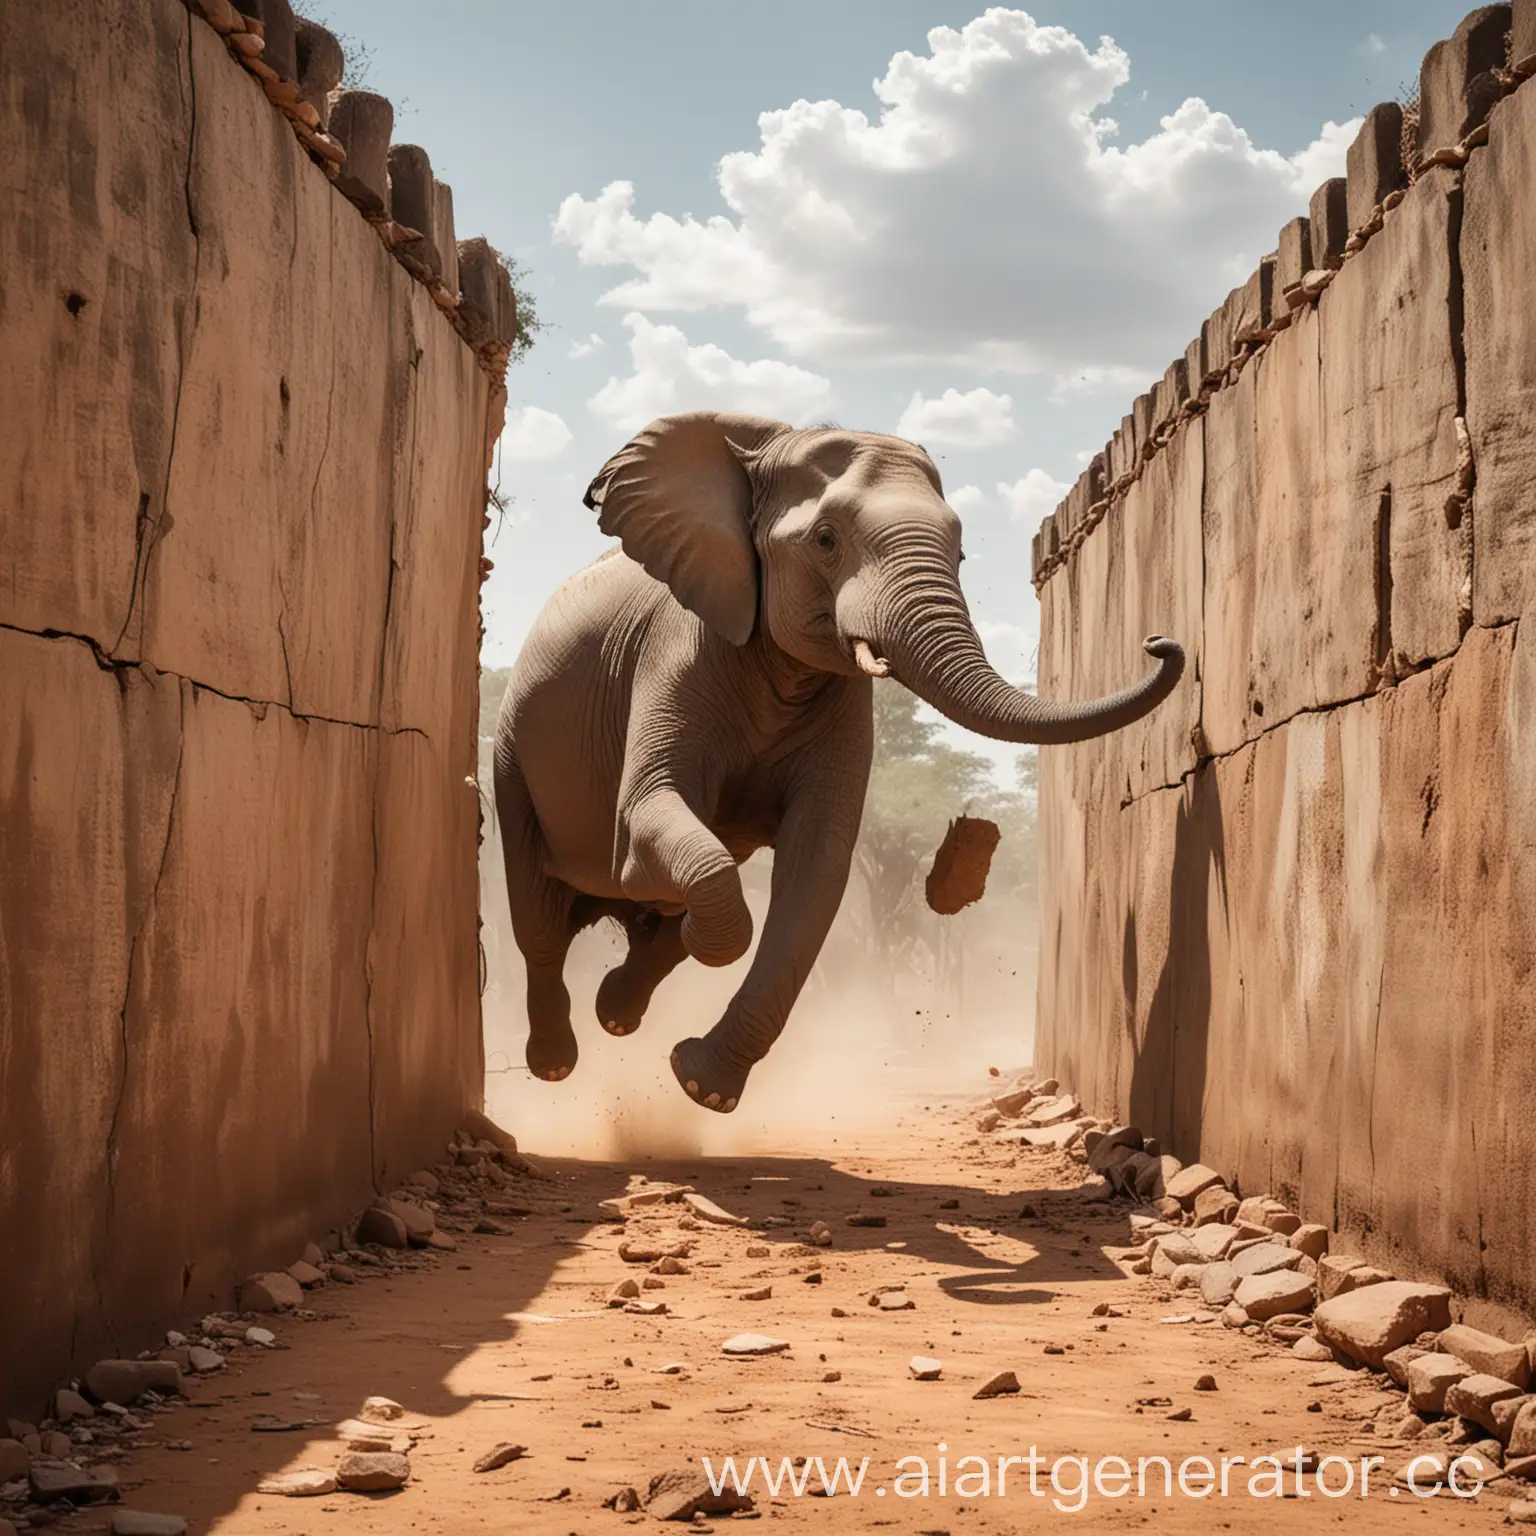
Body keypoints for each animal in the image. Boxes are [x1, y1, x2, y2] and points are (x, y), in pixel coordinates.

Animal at [494, 417, 1185, 1118]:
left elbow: (817, 864)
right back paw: (555, 1062)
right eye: (826, 540)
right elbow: (646, 819)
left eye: (961, 556)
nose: (1159, 642)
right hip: (511, 756)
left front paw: (701, 1086)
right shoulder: (673, 655)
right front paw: (695, 1023)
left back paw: (617, 1010)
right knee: (538, 922)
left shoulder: (841, 704)